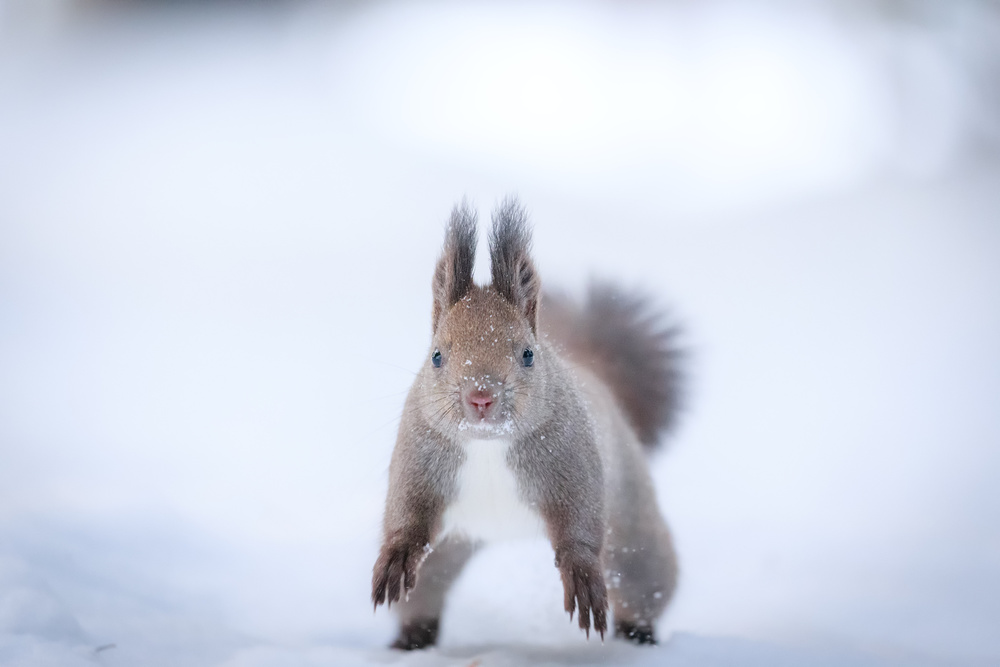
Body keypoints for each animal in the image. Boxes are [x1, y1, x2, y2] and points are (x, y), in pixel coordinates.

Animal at [372, 197, 684, 648]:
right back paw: (411, 638)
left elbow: (579, 523)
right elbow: (407, 511)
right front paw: (396, 556)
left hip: (632, 525)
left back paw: (639, 633)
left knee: (644, 577)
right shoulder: (419, 452)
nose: (480, 397)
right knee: (426, 588)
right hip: (448, 546)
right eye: (436, 356)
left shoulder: (572, 458)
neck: (487, 444)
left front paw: (581, 578)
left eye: (527, 355)